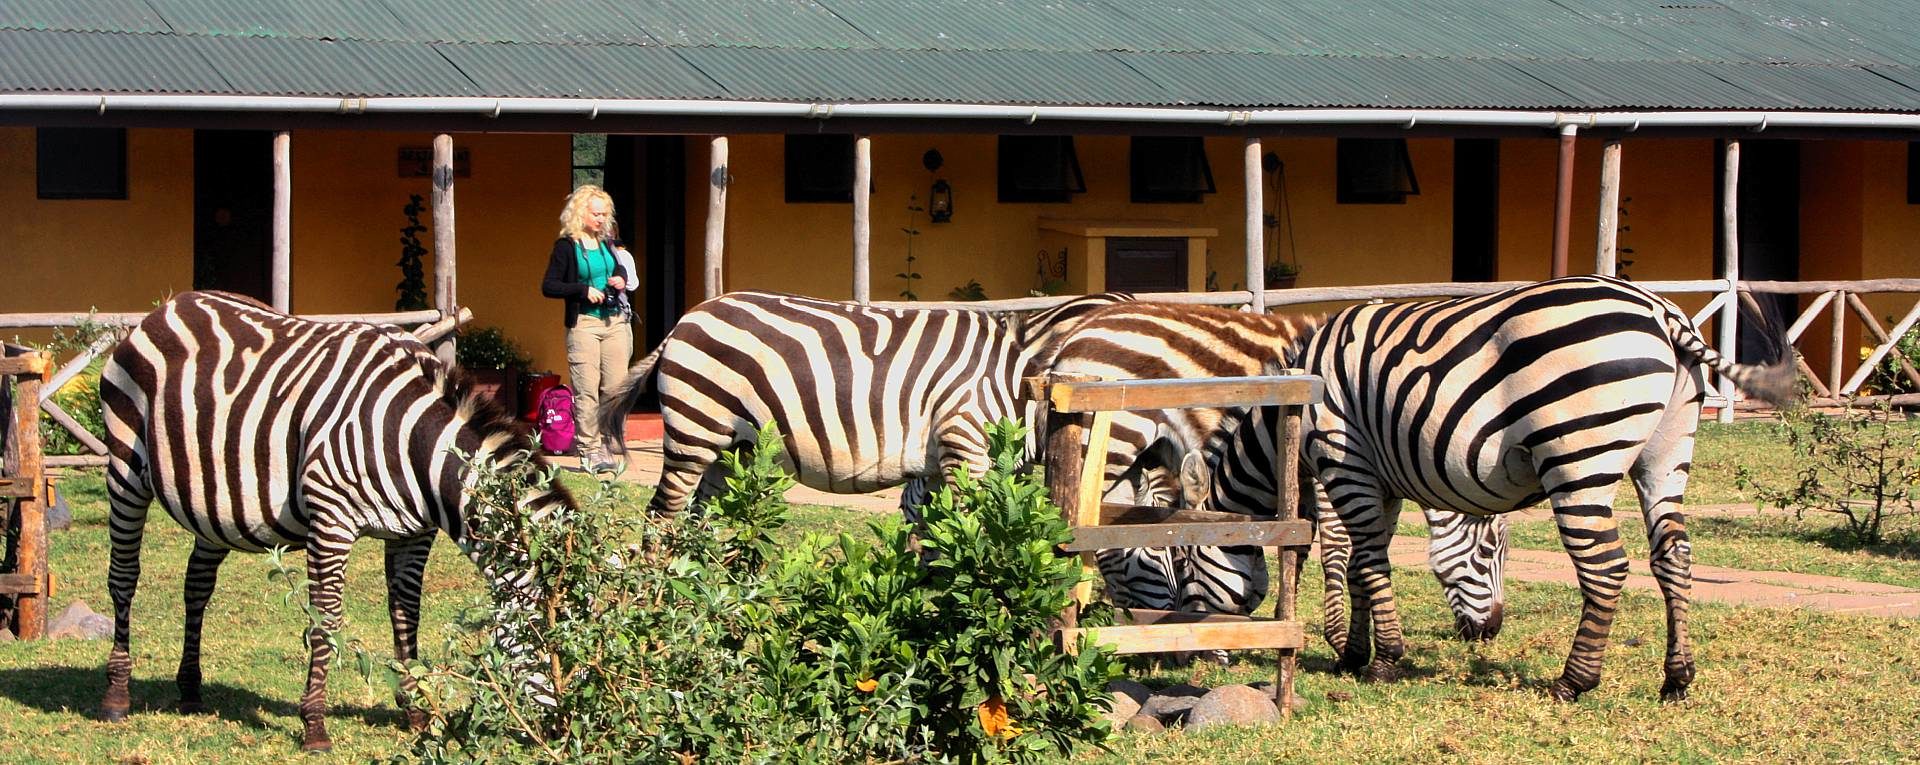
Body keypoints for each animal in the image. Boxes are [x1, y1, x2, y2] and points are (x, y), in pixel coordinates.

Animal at [102, 292, 568, 753]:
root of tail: (171, 304)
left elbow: (407, 614)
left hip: (214, 501)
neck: (411, 442)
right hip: (126, 467)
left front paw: (417, 712)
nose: (568, 732)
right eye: (557, 639)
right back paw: (117, 695)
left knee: (197, 583)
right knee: (123, 575)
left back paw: (190, 689)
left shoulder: (413, 534)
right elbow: (325, 620)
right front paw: (314, 727)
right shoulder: (330, 520)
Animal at [599, 290, 1128, 515]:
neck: (1016, 384)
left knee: (696, 518)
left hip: (729, 449)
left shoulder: (938, 466)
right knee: (664, 513)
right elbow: (971, 536)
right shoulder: (966, 450)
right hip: (696, 429)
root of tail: (683, 323)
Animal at [1044, 301, 1505, 649]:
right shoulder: (1330, 455)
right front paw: (1339, 640)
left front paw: (1287, 613)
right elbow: (1336, 544)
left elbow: (1298, 540)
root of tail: (1079, 329)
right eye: (1488, 553)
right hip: (1110, 441)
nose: (1490, 632)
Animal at [1182, 278, 1797, 703]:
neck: (1286, 415)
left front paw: (1382, 661)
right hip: (1666, 454)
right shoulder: (1378, 478)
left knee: (1605, 567)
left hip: (1578, 455)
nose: (1204, 658)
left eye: (1182, 565)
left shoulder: (1342, 457)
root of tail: (1661, 311)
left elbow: (1368, 563)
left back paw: (1574, 682)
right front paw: (1355, 654)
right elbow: (1361, 565)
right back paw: (1677, 679)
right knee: (1674, 556)